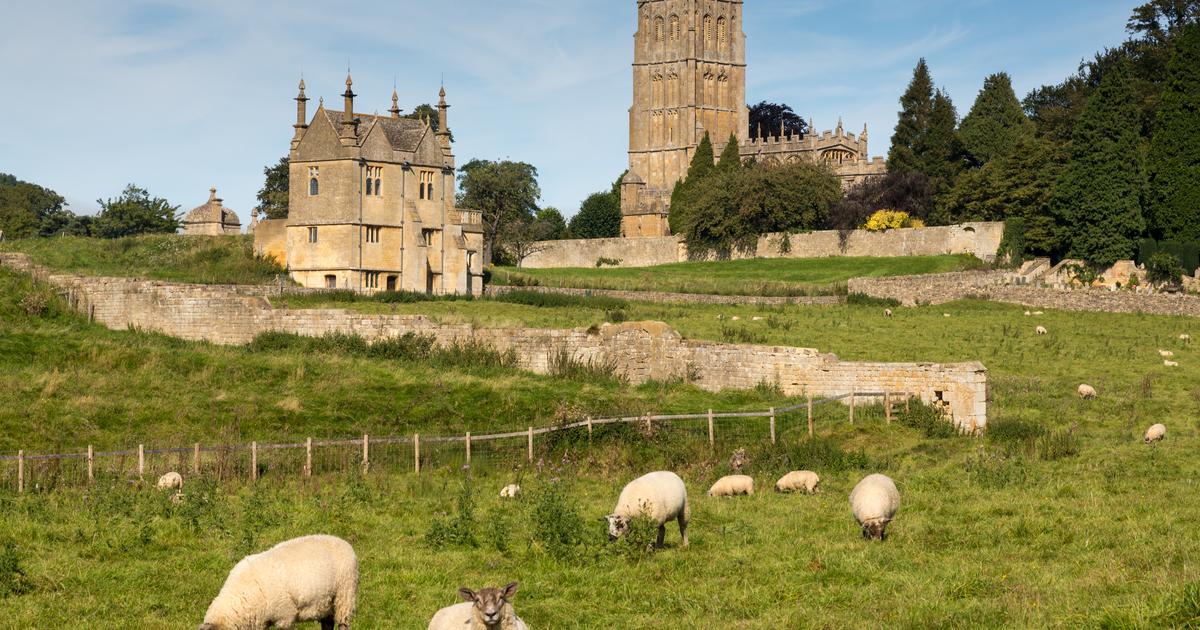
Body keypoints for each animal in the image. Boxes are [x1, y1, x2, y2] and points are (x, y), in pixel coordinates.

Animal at [200, 532, 355, 628]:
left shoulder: (285, 617)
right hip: (326, 602)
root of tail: (341, 540)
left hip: (345, 596)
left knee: (343, 623)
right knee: (328, 623)